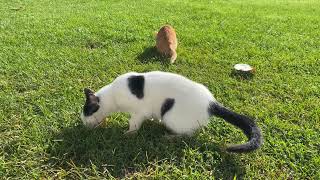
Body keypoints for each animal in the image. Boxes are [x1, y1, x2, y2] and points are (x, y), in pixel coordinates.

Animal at [80, 71, 262, 153]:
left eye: (86, 114)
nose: (83, 125)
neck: (113, 94)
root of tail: (211, 102)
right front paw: (153, 122)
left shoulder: (139, 112)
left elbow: (133, 124)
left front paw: (129, 134)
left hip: (171, 116)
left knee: (189, 134)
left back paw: (170, 137)